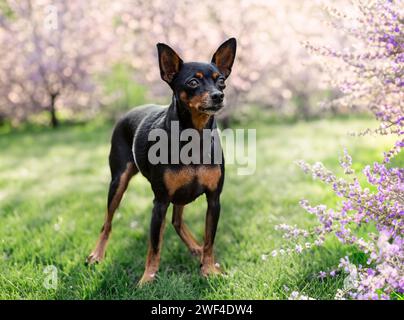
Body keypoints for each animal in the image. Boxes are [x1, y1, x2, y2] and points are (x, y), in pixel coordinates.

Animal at [86, 38, 235, 284]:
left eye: (221, 81)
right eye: (193, 82)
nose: (218, 96)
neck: (194, 136)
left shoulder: (214, 199)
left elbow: (210, 240)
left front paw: (208, 270)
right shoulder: (160, 202)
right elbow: (154, 245)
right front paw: (148, 278)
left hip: (181, 194)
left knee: (177, 221)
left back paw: (196, 249)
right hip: (118, 182)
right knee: (107, 222)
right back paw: (97, 254)